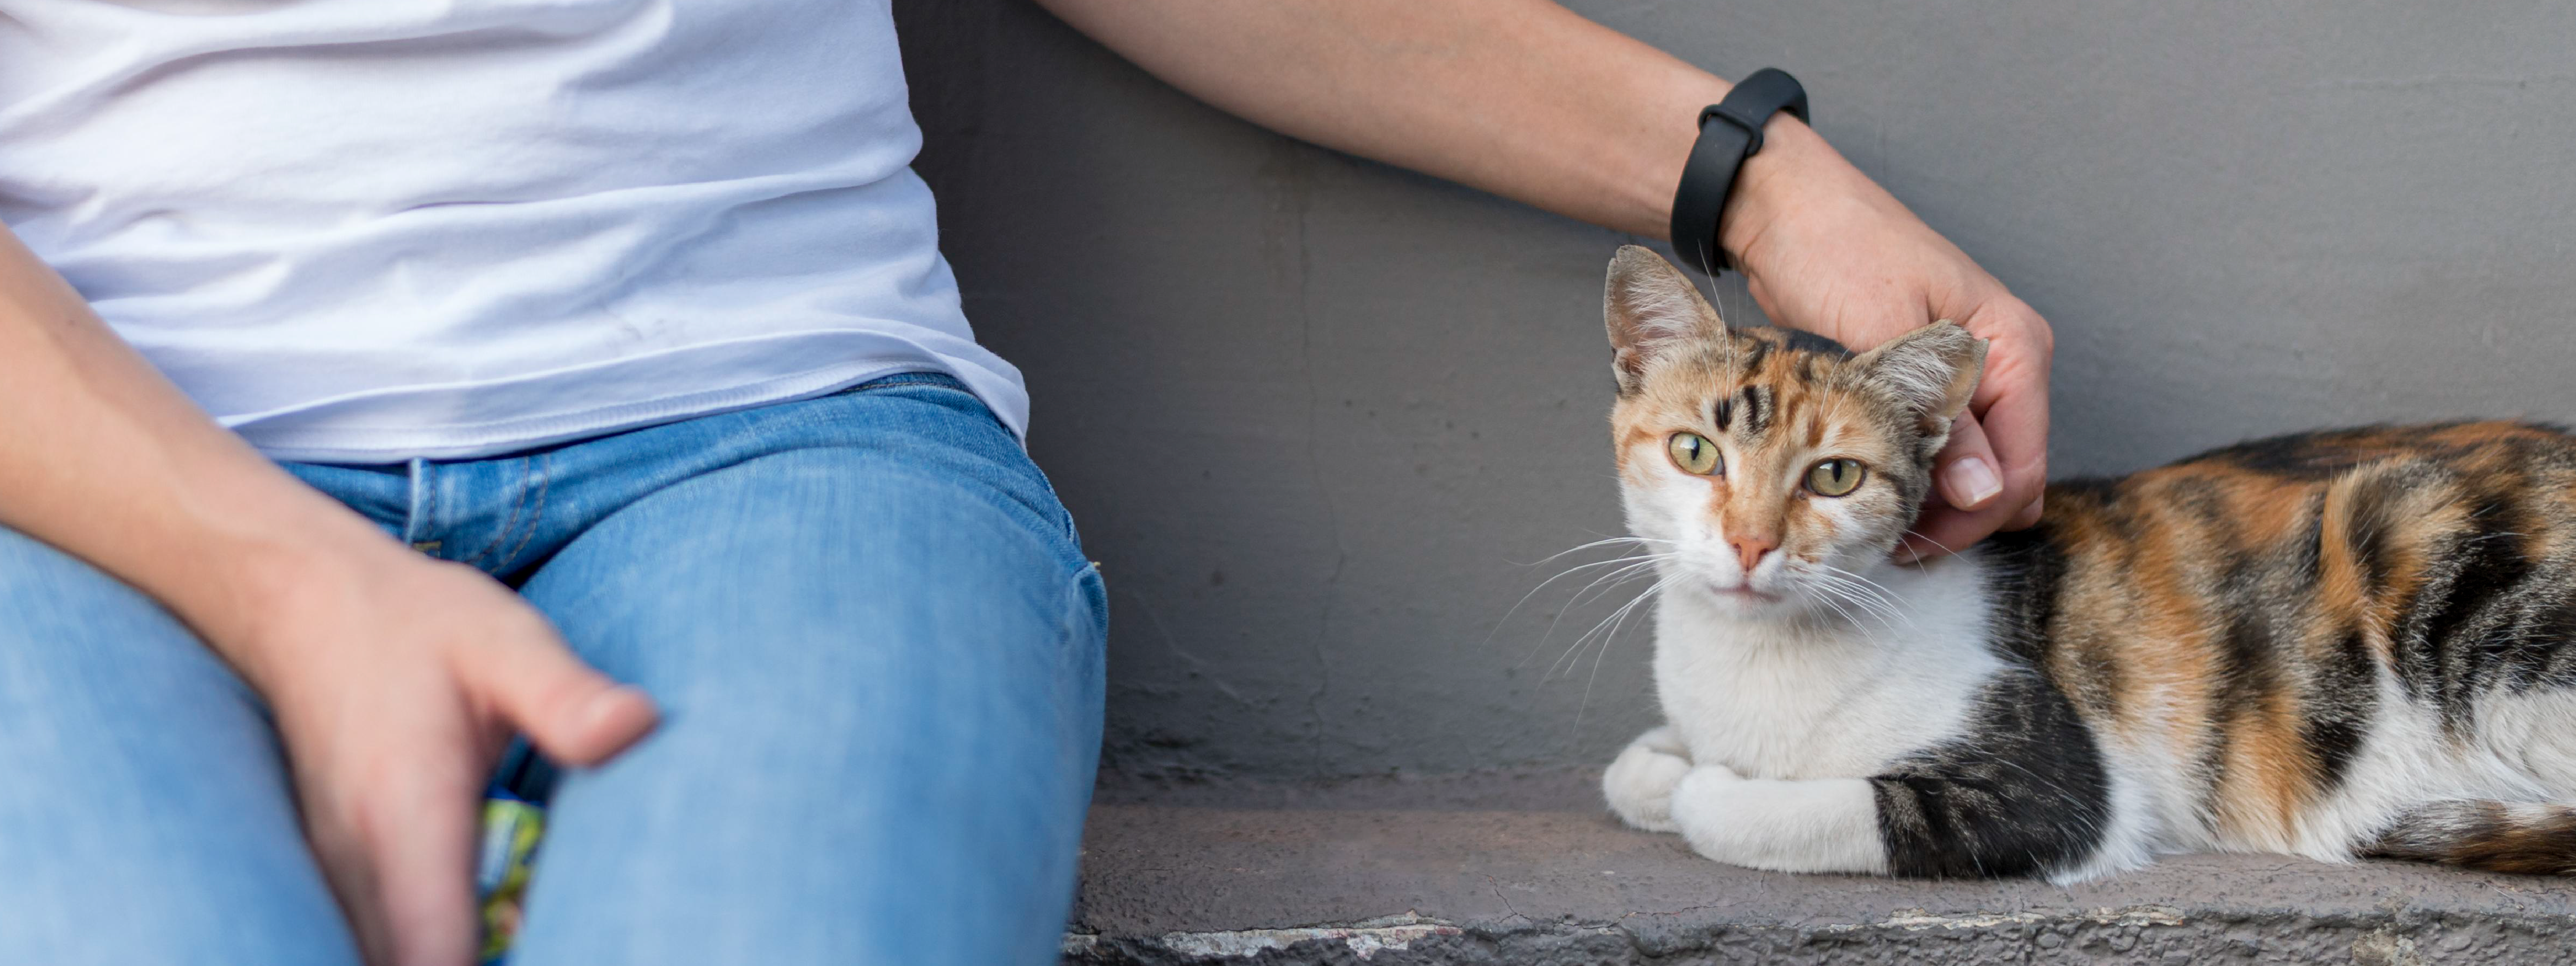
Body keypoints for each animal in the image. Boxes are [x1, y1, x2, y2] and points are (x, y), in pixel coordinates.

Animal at [1597, 246, 2576, 881]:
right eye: (1695, 452)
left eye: (1835, 476)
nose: (1751, 542)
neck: (1749, 660)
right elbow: (1630, 769)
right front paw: (1662, 765)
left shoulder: (2046, 790)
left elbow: (1789, 810)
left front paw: (1704, 785)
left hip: (2411, 527)